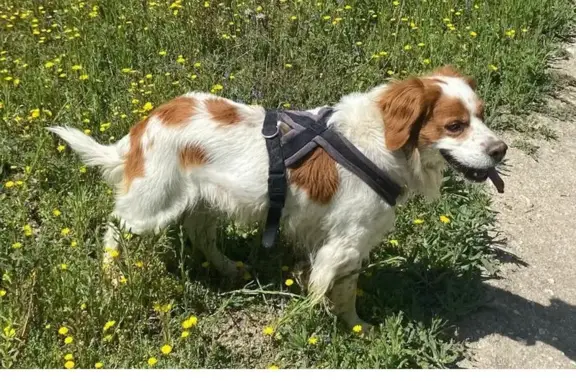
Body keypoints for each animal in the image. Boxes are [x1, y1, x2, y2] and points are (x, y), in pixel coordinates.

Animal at [50, 65, 508, 330]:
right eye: (455, 125)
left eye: (482, 115)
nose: (501, 150)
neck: (380, 142)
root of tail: (147, 122)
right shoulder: (347, 244)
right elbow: (343, 294)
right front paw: (357, 329)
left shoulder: (328, 241)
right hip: (151, 206)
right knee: (114, 230)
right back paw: (113, 278)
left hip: (205, 203)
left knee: (201, 235)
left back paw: (228, 269)